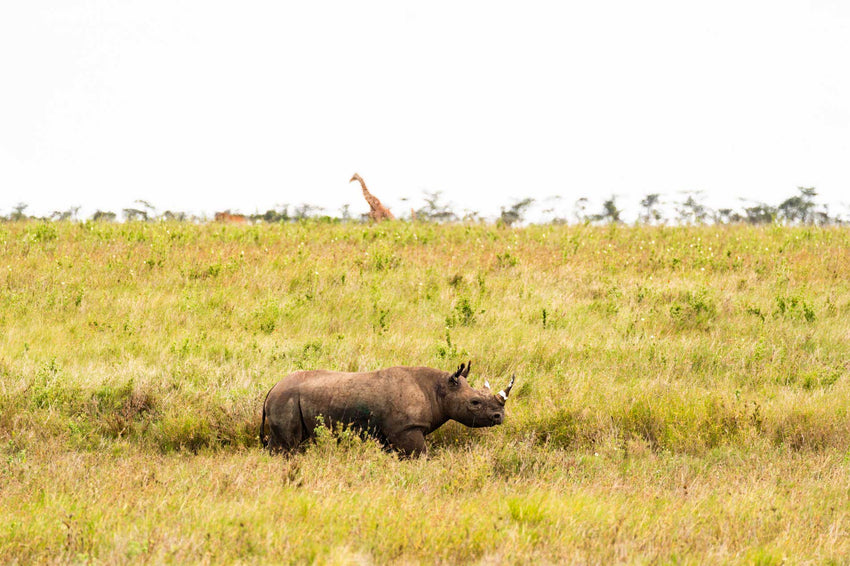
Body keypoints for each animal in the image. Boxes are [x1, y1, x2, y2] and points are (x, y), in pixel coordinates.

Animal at [260, 362, 514, 457]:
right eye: (475, 403)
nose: (499, 416)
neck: (439, 390)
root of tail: (272, 389)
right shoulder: (406, 429)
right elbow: (420, 455)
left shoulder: (392, 433)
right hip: (286, 399)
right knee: (289, 445)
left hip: (287, 399)